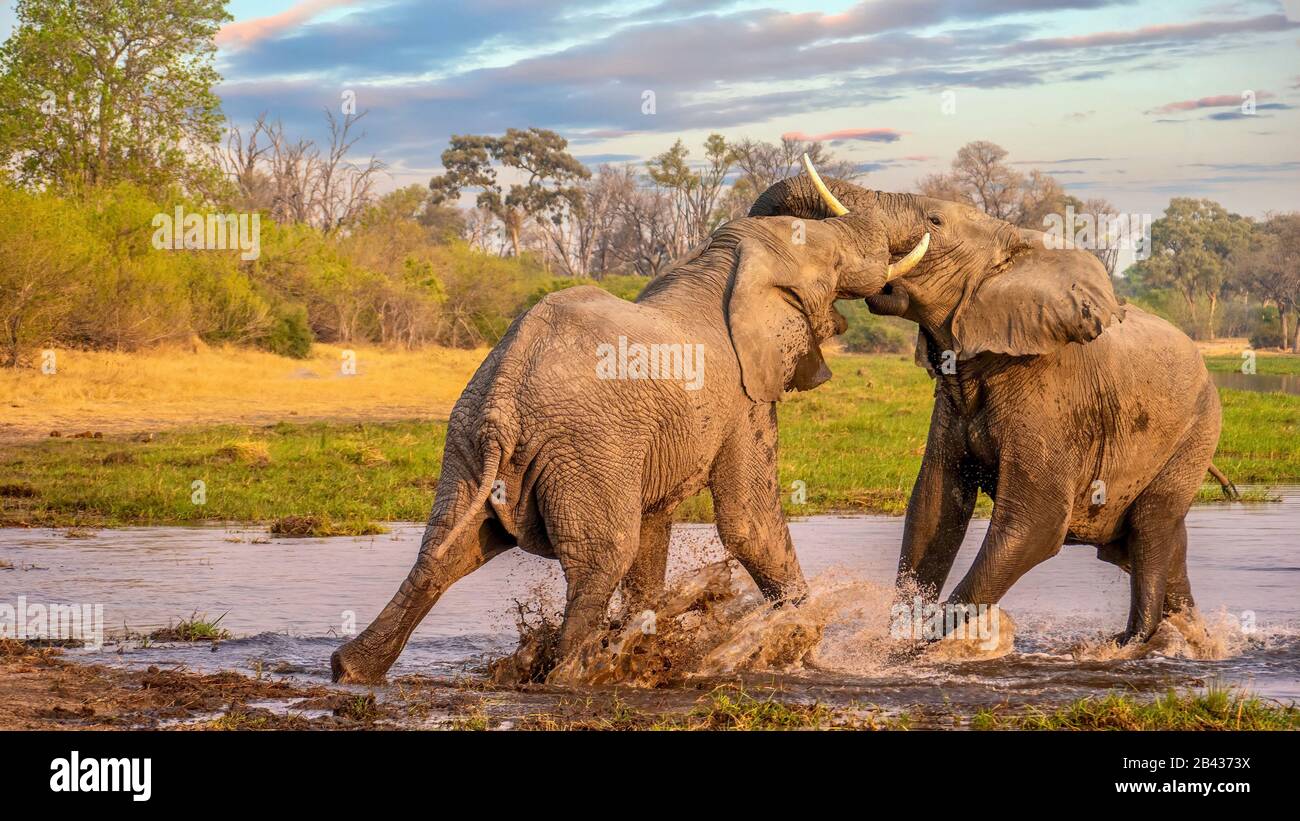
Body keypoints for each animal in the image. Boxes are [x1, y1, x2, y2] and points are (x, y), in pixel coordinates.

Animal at [330, 200, 930, 685]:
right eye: (834, 262)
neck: (719, 264)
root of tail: (505, 390)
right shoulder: (744, 398)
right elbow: (749, 522)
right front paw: (801, 647)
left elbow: (654, 533)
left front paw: (651, 638)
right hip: (585, 446)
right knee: (600, 560)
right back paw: (575, 674)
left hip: (469, 444)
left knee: (444, 551)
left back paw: (353, 670)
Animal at [754, 166, 1227, 644]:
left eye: (935, 221)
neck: (1012, 242)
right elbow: (933, 508)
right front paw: (899, 642)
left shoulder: (1051, 397)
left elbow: (1035, 525)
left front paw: (927, 646)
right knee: (1154, 547)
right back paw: (1192, 636)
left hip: (1196, 431)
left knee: (1151, 531)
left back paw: (1130, 642)